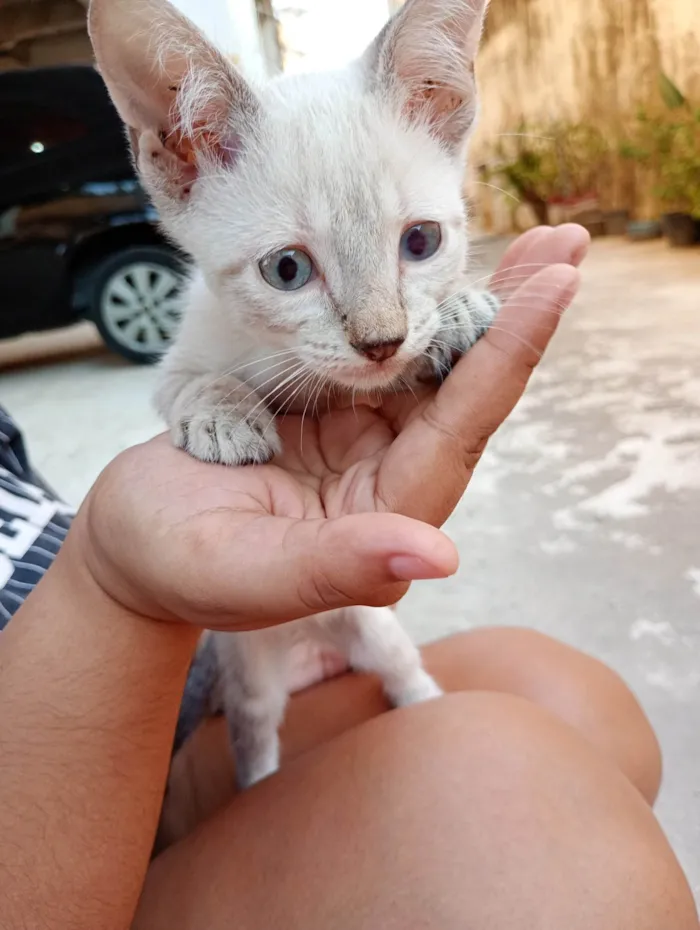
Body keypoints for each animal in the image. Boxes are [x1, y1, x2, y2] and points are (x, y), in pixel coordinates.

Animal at [90, 0, 494, 788]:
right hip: (249, 672)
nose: (381, 341)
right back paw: (260, 783)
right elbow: (196, 383)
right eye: (287, 270)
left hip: (377, 629)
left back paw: (429, 707)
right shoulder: (177, 361)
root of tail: (315, 633)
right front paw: (226, 419)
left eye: (422, 242)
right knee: (256, 732)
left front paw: (457, 311)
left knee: (404, 672)